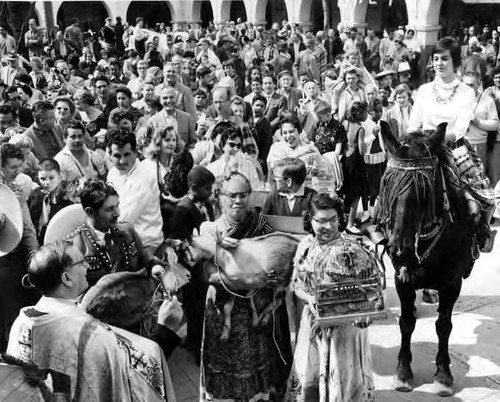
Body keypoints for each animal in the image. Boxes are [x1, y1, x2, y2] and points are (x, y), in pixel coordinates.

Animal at [376, 120, 476, 396]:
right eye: (387, 184)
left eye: (424, 191)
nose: (400, 250)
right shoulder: (402, 279)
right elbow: (406, 322)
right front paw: (402, 372)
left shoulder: (452, 283)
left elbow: (444, 326)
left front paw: (443, 374)